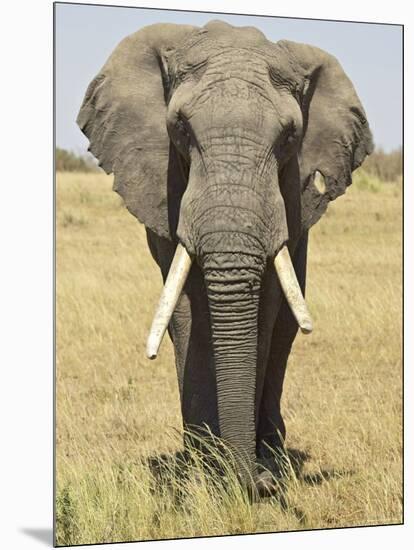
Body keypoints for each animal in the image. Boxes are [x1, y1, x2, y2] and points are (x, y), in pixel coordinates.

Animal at [76, 20, 374, 496]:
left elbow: (265, 308)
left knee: (286, 328)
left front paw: (247, 468)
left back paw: (270, 451)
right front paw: (205, 470)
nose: (262, 484)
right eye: (179, 127)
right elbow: (184, 309)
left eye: (290, 136)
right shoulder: (167, 186)